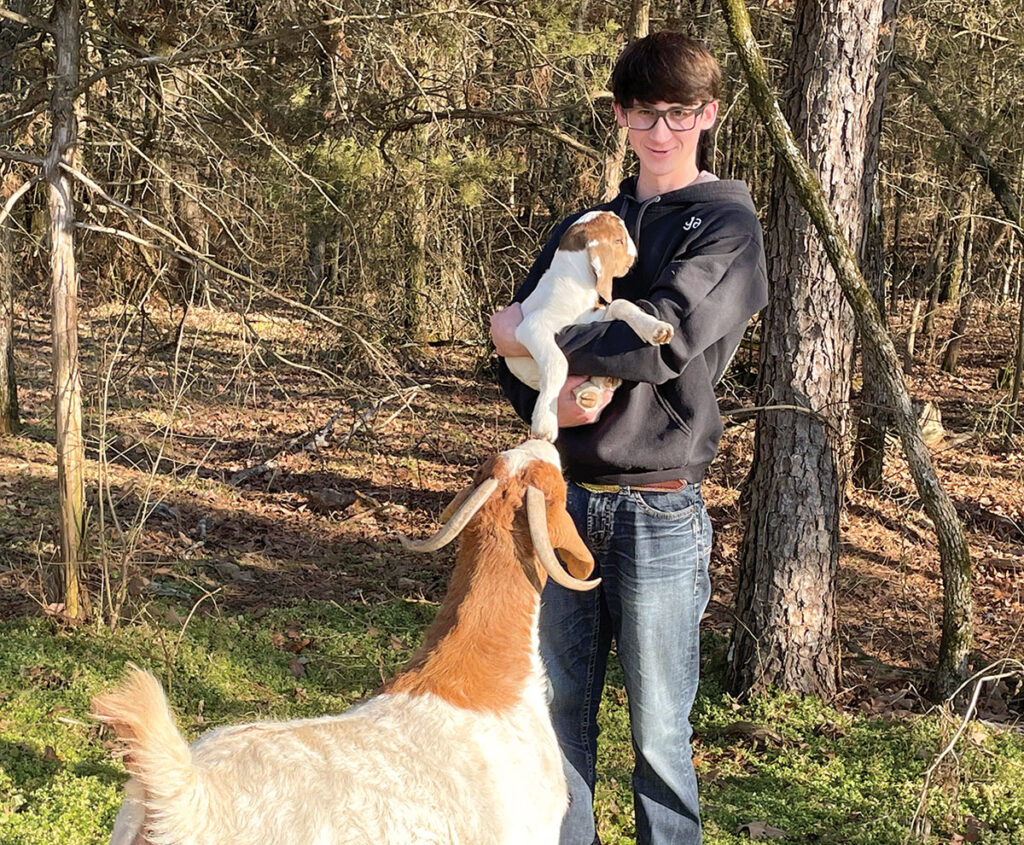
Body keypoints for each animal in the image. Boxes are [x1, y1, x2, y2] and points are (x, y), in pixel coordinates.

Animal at [501, 210, 671, 442]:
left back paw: (599, 385)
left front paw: (656, 328)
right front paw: (545, 422)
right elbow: (558, 363)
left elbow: (620, 304)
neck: (574, 285)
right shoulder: (532, 327)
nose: (635, 256)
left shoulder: (595, 317)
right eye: (619, 240)